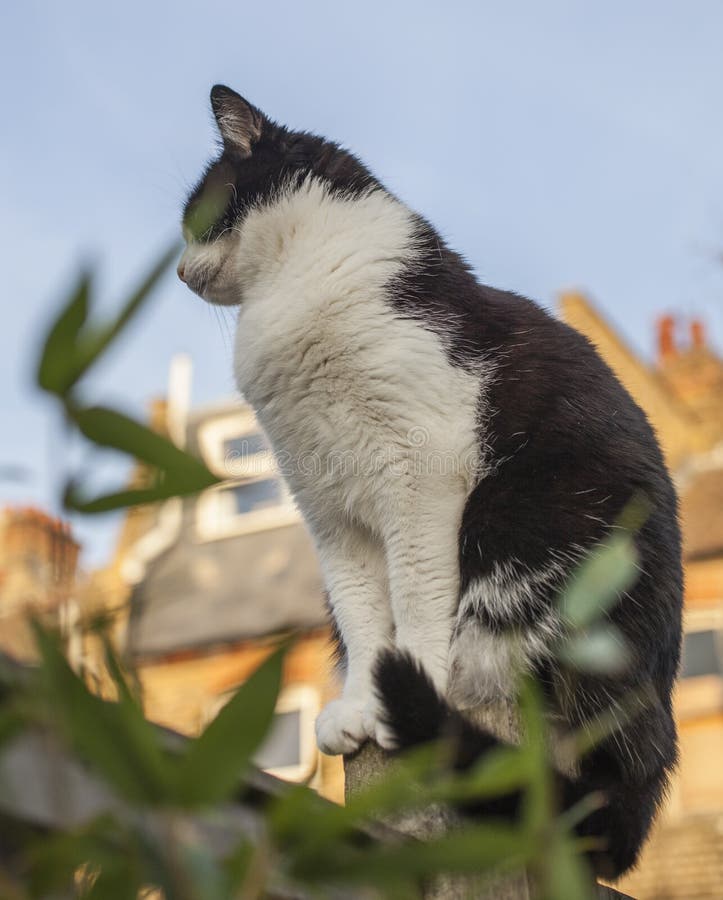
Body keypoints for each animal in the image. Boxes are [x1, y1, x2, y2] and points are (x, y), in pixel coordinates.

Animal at [181, 86, 684, 880]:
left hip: (531, 529)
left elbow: (415, 593)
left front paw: (412, 679)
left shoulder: (422, 469)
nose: (177, 270)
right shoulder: (328, 510)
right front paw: (362, 705)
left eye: (195, 211)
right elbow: (363, 617)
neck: (293, 292)